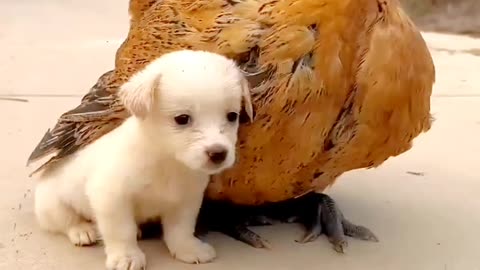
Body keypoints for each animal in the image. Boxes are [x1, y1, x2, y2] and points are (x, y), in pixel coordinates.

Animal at [31, 49, 253, 270]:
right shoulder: (110, 197)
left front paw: (188, 249)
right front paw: (126, 256)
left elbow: (180, 229)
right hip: (51, 206)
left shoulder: (187, 199)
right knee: (66, 222)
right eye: (182, 119)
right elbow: (122, 231)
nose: (218, 153)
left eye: (232, 116)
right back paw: (82, 230)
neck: (167, 161)